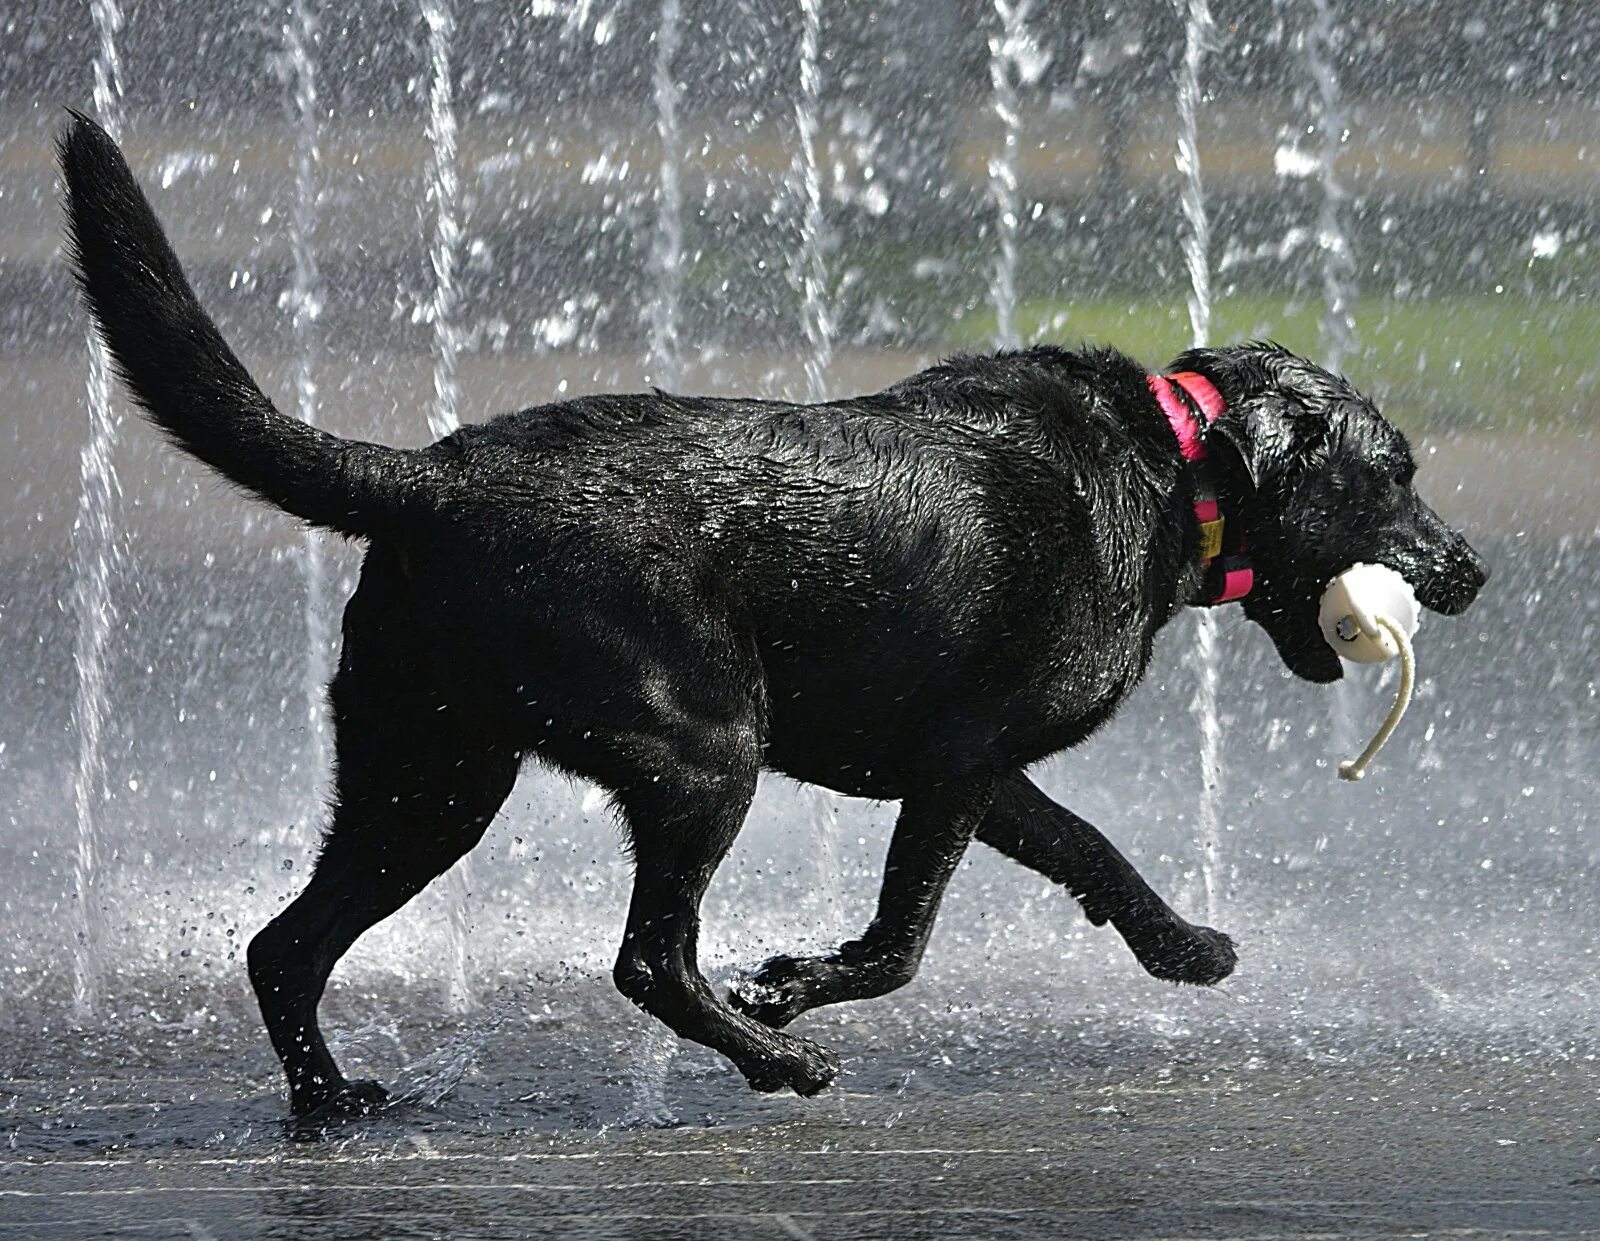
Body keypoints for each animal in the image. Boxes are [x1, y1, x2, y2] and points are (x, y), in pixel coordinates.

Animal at [59, 116, 1484, 1119]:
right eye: (1396, 473)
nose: (1469, 568)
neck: (1172, 461)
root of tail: (435, 473)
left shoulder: (973, 767)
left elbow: (1092, 849)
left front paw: (1185, 946)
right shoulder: (957, 765)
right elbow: (905, 937)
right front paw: (797, 990)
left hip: (429, 778)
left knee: (284, 944)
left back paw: (328, 1101)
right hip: (699, 749)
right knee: (647, 958)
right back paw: (770, 1062)